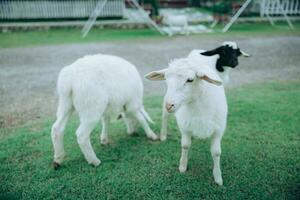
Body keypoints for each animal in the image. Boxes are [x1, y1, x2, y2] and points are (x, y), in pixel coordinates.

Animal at [146, 58, 227, 186]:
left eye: (190, 80)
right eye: (166, 80)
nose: (169, 105)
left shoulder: (218, 130)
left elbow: (216, 153)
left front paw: (218, 177)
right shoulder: (185, 127)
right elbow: (185, 146)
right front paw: (183, 166)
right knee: (165, 117)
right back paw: (163, 135)